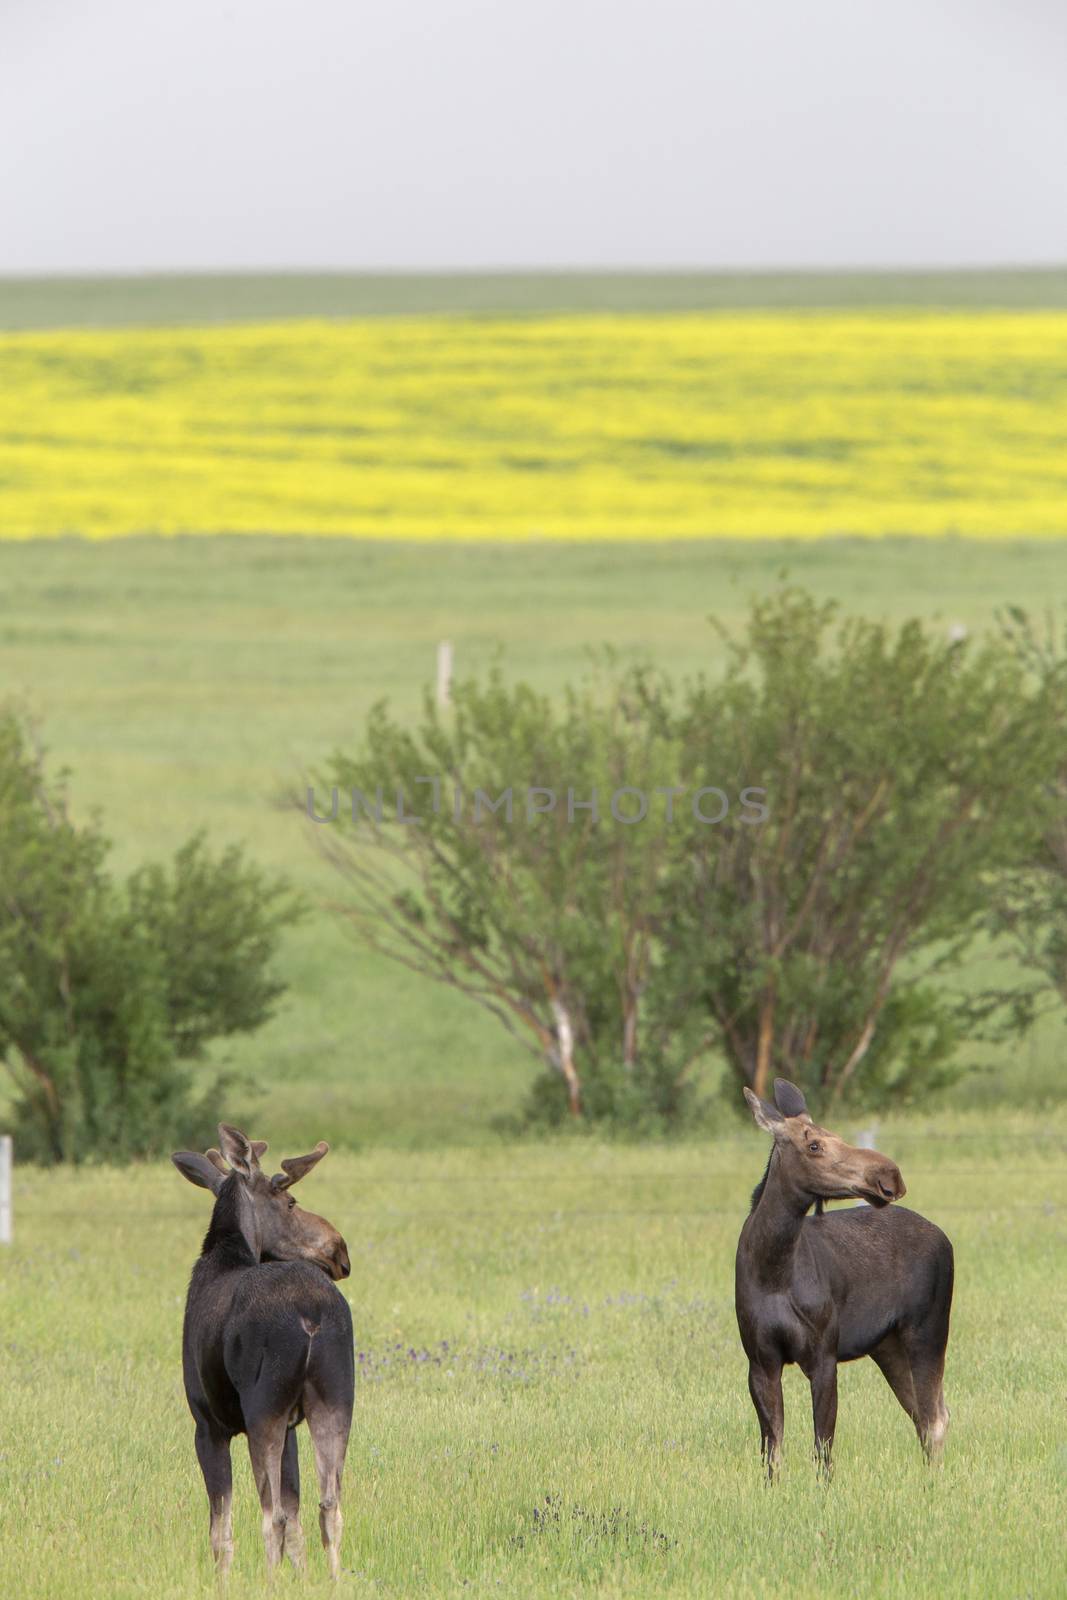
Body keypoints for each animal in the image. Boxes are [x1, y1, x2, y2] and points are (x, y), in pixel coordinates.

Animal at [173, 1126, 356, 1574]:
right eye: (290, 1202)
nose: (340, 1251)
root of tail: (310, 1313)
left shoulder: (207, 1424)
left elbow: (221, 1531)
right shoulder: (292, 1426)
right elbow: (297, 1520)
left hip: (263, 1408)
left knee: (270, 1517)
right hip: (336, 1398)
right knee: (329, 1506)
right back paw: (335, 1580)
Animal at [739, 1081, 953, 1478]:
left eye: (836, 1135)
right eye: (813, 1145)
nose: (889, 1175)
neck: (772, 1270)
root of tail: (944, 1237)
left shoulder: (823, 1355)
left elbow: (822, 1447)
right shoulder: (760, 1362)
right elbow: (772, 1450)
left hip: (927, 1331)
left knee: (935, 1417)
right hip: (888, 1345)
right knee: (923, 1414)